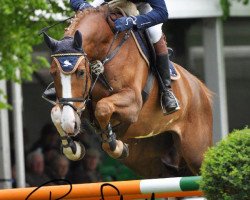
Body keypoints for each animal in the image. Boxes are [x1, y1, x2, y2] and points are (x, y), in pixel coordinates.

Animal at [44, 5, 212, 178]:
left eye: (81, 72)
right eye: (52, 73)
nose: (70, 124)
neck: (105, 51)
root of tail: (200, 88)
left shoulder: (133, 104)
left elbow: (103, 108)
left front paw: (113, 144)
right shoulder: (80, 103)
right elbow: (56, 112)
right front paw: (72, 147)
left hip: (195, 151)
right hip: (146, 157)